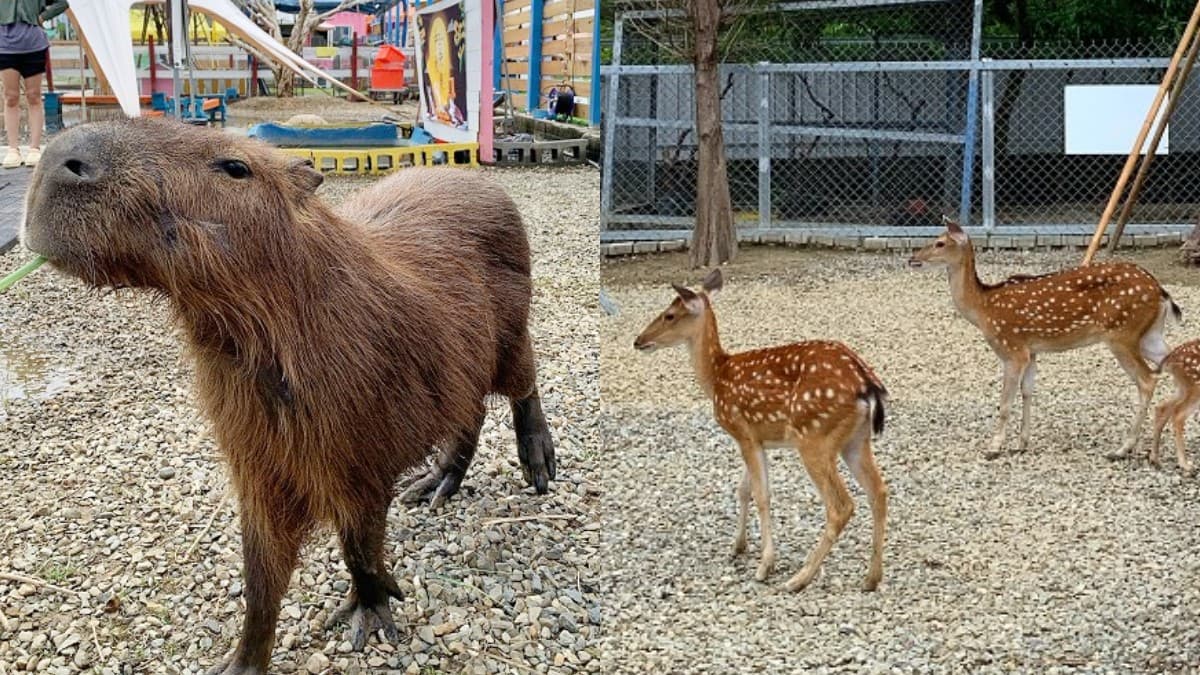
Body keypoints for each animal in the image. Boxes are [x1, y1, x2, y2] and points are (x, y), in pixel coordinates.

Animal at [633, 269, 889, 592]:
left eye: (669, 315)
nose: (638, 340)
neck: (716, 377)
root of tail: (867, 386)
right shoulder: (757, 438)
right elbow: (743, 490)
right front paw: (737, 547)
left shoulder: (741, 431)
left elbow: (761, 495)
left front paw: (765, 565)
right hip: (855, 440)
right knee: (879, 491)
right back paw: (871, 578)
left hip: (815, 438)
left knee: (841, 506)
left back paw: (799, 579)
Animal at [909, 217, 1181, 460]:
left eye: (940, 242)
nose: (912, 258)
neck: (983, 307)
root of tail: (1160, 291)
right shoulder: (1031, 351)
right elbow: (1027, 391)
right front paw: (1021, 443)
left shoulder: (1012, 349)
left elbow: (1005, 402)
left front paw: (994, 447)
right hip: (1149, 335)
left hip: (1122, 333)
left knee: (1147, 379)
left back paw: (1123, 449)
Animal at [1149, 340, 1200, 477]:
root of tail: (1171, 357)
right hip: (1194, 385)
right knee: (1178, 414)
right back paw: (1185, 465)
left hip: (1182, 387)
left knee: (1162, 407)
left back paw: (1154, 459)